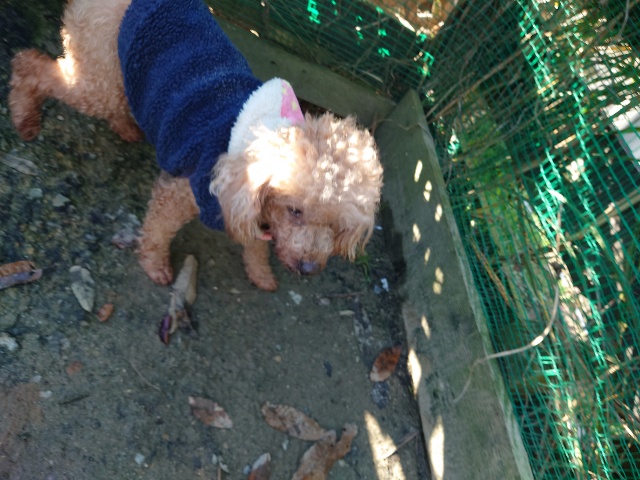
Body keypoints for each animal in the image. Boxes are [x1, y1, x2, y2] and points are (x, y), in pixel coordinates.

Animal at [8, 0, 383, 291]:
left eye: (337, 225)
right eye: (295, 211)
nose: (309, 268)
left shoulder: (251, 213)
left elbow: (256, 246)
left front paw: (261, 275)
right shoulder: (184, 191)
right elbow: (158, 229)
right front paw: (155, 266)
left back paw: (126, 127)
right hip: (97, 66)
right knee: (31, 65)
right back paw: (24, 116)